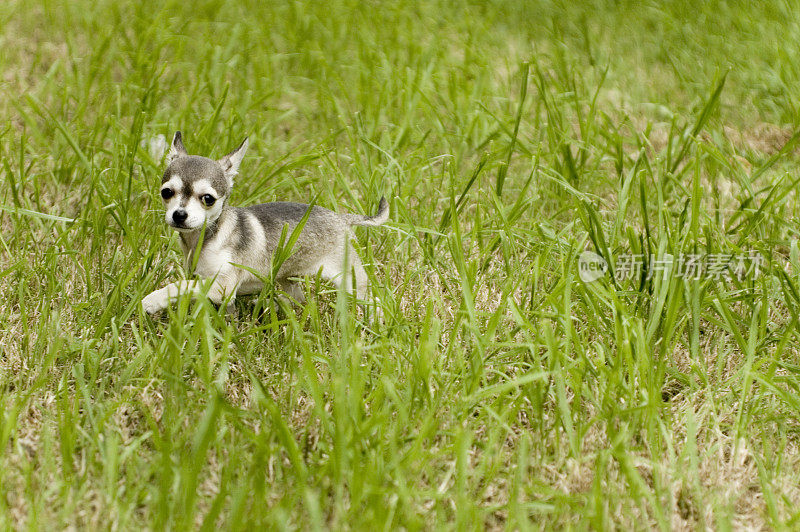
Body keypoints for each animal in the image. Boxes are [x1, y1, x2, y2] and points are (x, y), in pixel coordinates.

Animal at [142, 132, 390, 314]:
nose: (179, 214)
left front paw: (153, 300)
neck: (205, 238)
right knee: (298, 297)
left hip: (350, 280)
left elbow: (179, 285)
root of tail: (342, 218)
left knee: (374, 301)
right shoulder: (214, 288)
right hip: (286, 275)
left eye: (208, 199)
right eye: (166, 192)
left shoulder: (221, 287)